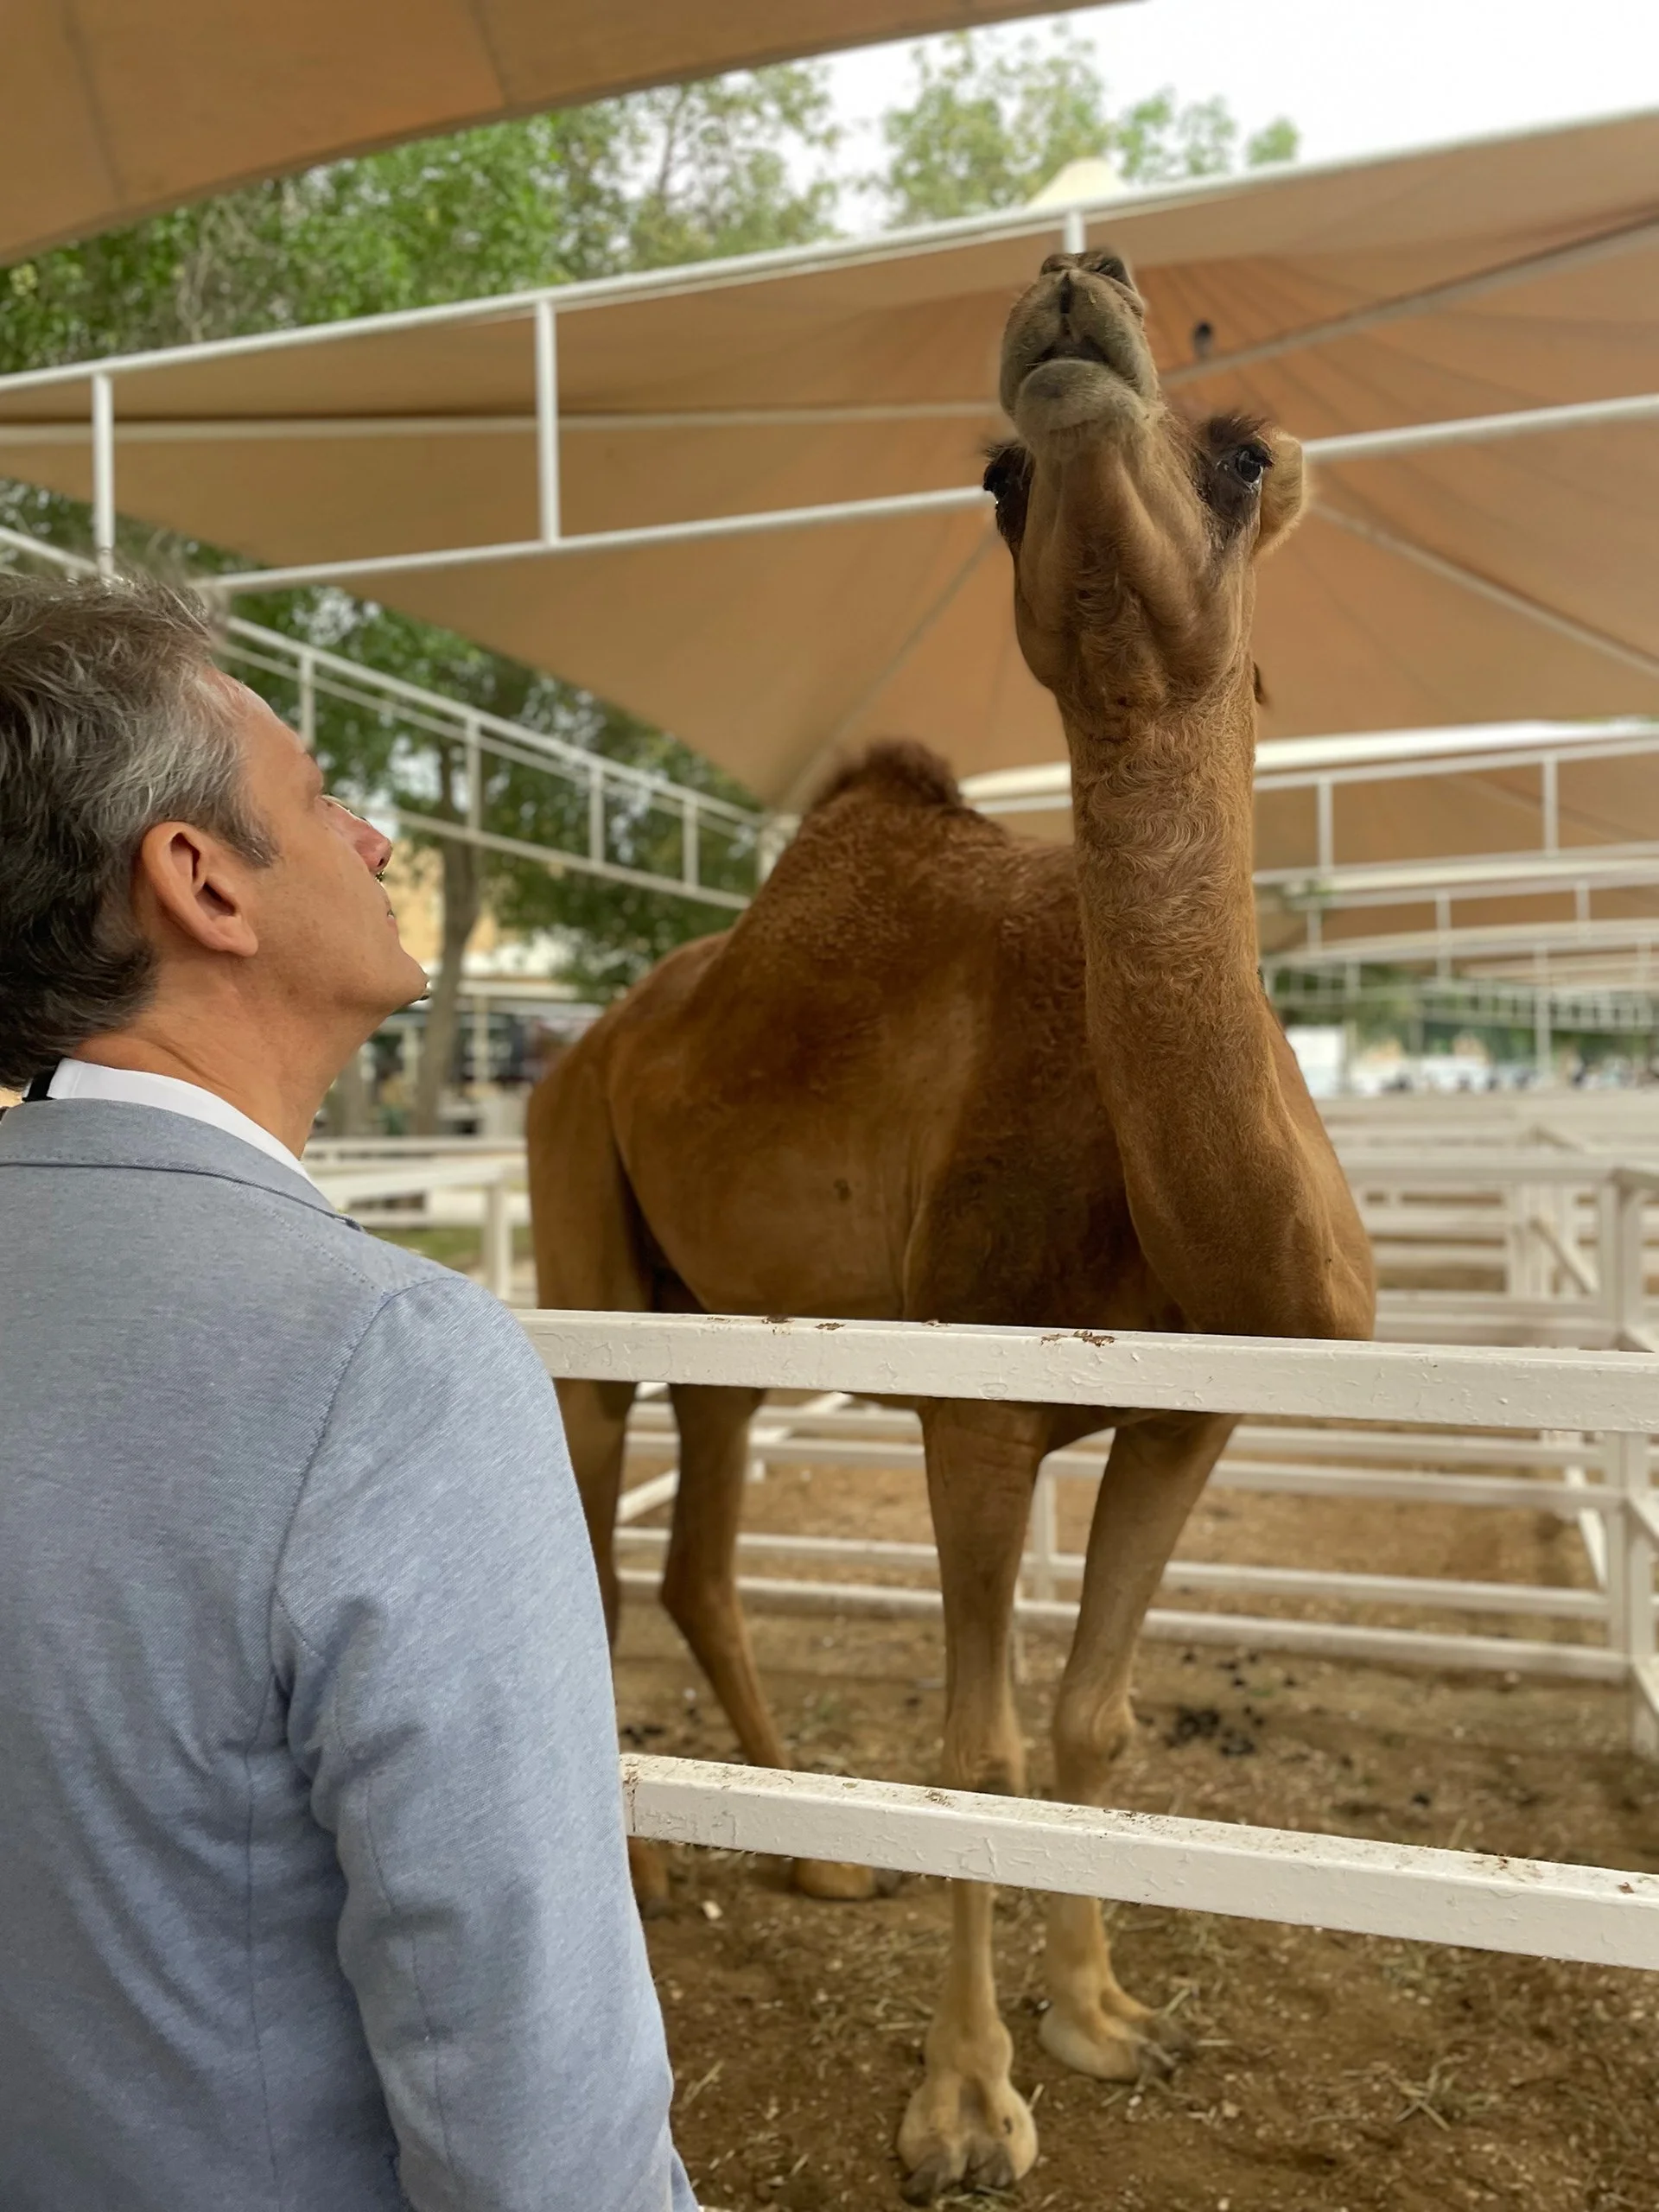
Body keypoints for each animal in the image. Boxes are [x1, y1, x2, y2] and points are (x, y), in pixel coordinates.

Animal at [527, 246, 1375, 2202]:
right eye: (994, 482)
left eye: (1245, 455)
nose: (1074, 281)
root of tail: (587, 1038)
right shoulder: (974, 1409)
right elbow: (978, 1752)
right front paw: (970, 2104)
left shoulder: (1188, 1413)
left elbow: (1091, 1720)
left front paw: (1108, 2012)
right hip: (572, 1215)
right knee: (594, 1531)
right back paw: (660, 1861)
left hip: (728, 1322)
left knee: (694, 1548)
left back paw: (815, 1848)